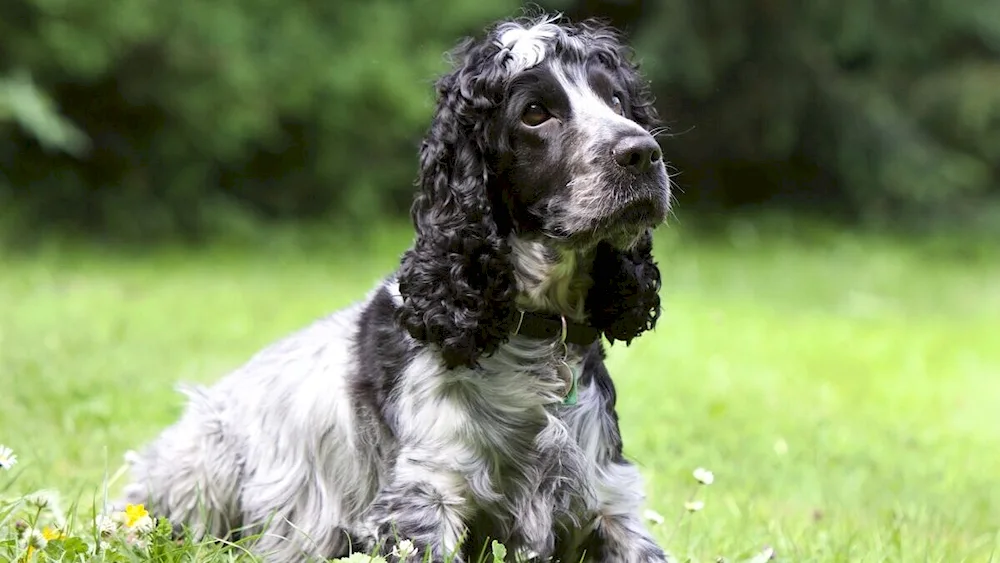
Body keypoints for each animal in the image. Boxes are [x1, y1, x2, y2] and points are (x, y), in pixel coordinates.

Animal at [123, 13, 672, 563]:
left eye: (617, 100)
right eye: (535, 113)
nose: (643, 153)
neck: (535, 339)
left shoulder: (610, 500)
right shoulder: (424, 497)